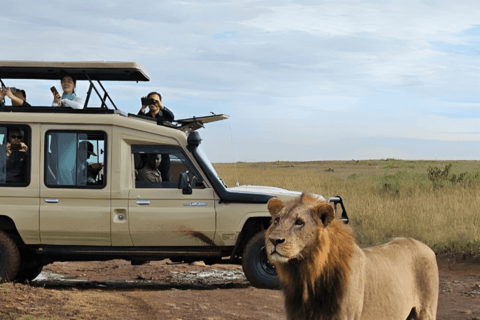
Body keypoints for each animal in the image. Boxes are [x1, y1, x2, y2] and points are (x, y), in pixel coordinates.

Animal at [266, 191, 438, 318]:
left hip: (426, 311)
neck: (307, 273)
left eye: (299, 222)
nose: (273, 240)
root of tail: (424, 246)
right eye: (277, 220)